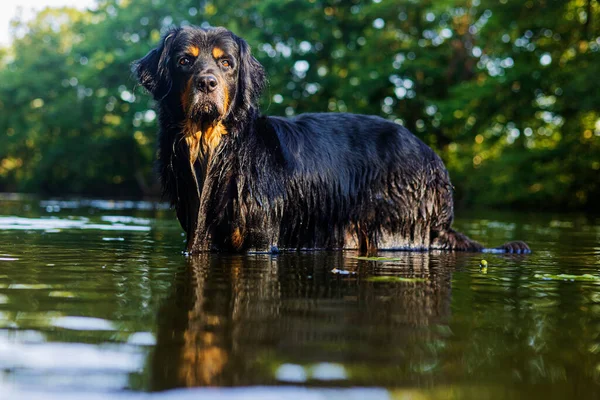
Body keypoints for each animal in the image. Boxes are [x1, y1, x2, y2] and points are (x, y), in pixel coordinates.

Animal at [135, 25, 528, 253]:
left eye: (226, 63)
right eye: (184, 61)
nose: (207, 82)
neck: (214, 147)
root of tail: (434, 159)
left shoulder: (261, 237)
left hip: (396, 226)